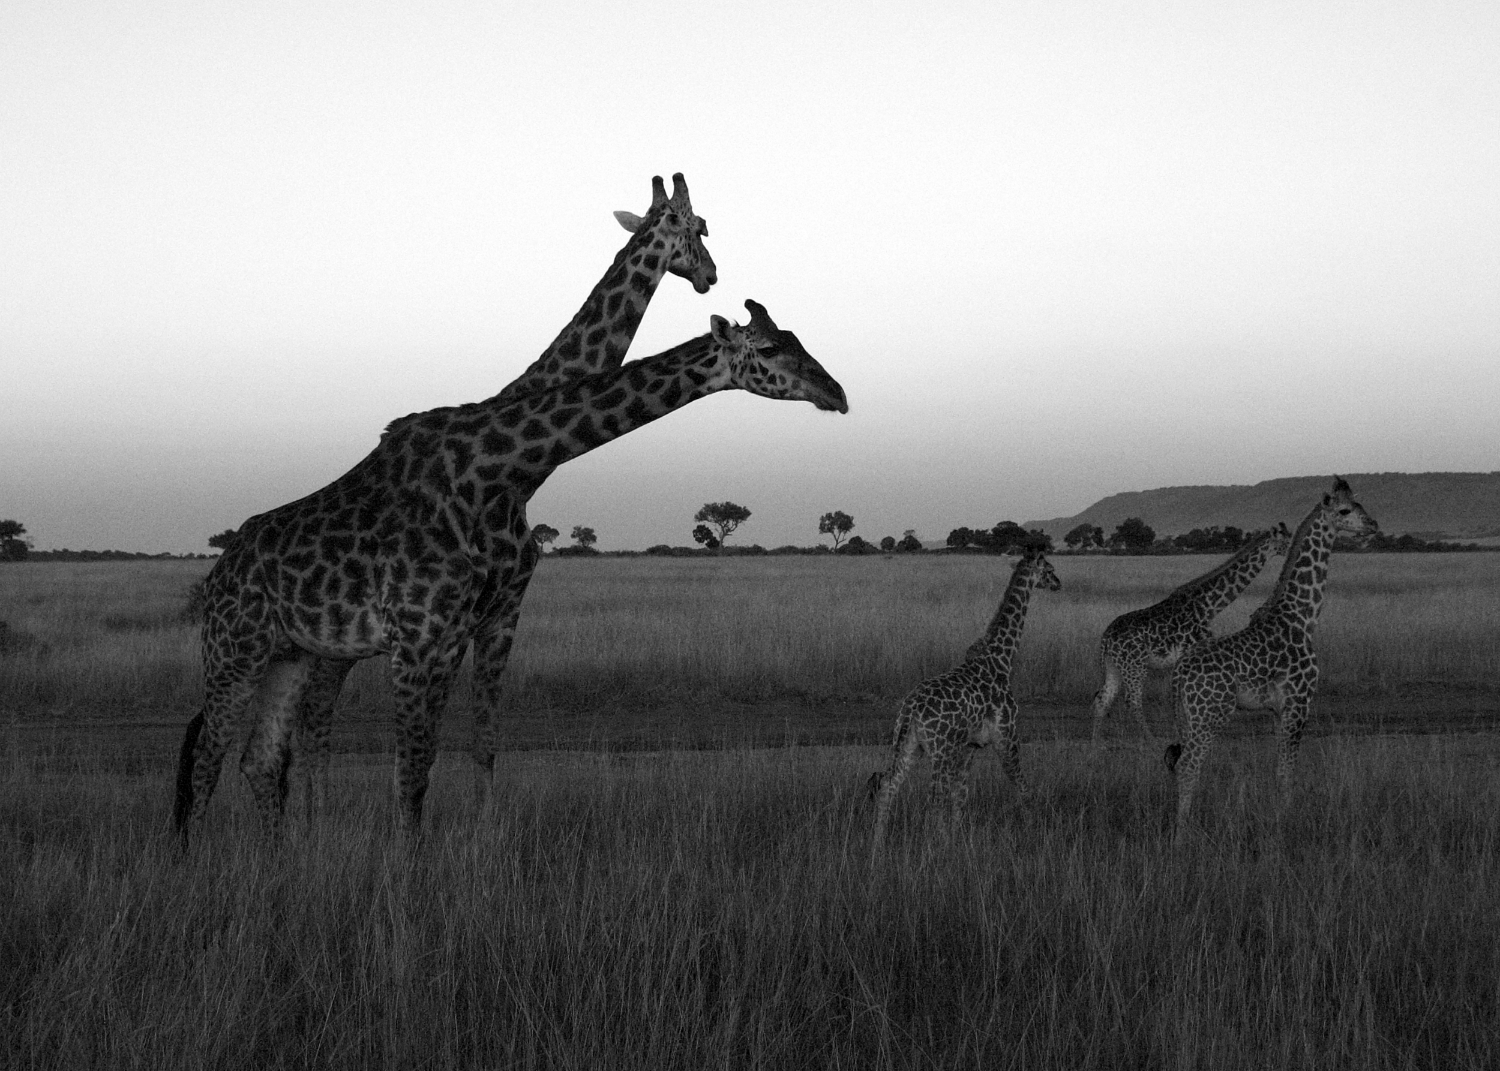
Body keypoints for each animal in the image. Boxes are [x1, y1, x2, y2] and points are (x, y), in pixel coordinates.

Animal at [174, 298, 846, 834]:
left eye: (799, 339)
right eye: (767, 348)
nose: (836, 393)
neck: (491, 473)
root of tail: (217, 574)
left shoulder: (459, 633)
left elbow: (448, 757)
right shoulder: (416, 640)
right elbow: (410, 772)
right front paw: (402, 882)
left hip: (289, 653)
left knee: (258, 760)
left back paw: (277, 863)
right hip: (235, 648)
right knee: (207, 756)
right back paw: (197, 867)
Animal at [864, 546, 1062, 846]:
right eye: (1049, 568)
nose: (1058, 583)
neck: (1003, 658)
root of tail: (910, 710)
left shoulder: (970, 745)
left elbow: (960, 795)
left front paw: (955, 839)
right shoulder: (1006, 736)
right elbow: (1022, 786)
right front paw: (1033, 830)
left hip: (910, 744)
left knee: (889, 784)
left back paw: (877, 845)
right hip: (940, 750)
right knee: (933, 797)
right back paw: (930, 846)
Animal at [1086, 522, 1296, 738]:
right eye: (1286, 539)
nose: (1293, 550)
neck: (1209, 606)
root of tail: (1106, 638)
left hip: (1115, 666)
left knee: (1102, 698)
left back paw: (1096, 741)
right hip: (1135, 665)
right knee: (1132, 700)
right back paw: (1149, 739)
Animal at [1158, 477, 1380, 840]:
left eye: (1360, 505)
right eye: (1346, 510)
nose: (1373, 524)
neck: (1303, 616)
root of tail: (1179, 675)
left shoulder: (1279, 709)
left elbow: (1279, 770)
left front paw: (1279, 818)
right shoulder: (1299, 702)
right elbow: (1288, 772)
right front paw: (1287, 824)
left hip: (1189, 717)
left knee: (1178, 763)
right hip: (1210, 716)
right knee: (1189, 765)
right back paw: (1182, 835)